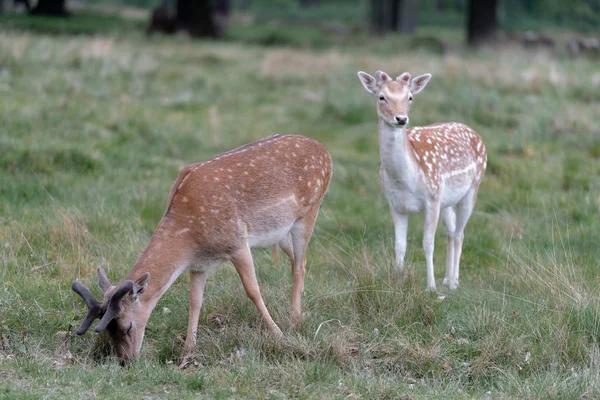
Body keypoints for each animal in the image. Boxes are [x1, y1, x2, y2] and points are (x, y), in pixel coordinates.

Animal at [72, 134, 332, 362]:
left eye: (127, 326)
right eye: (108, 330)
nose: (125, 361)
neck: (190, 237)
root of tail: (325, 150)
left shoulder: (237, 242)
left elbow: (253, 291)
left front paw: (278, 334)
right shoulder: (199, 265)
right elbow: (195, 301)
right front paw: (188, 350)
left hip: (309, 212)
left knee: (300, 264)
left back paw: (295, 320)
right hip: (280, 235)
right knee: (297, 260)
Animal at [358, 69, 486, 290]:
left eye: (410, 97)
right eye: (381, 97)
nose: (401, 118)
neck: (404, 179)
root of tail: (475, 133)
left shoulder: (432, 199)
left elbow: (428, 244)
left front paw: (430, 287)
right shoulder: (395, 204)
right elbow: (400, 245)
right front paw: (398, 281)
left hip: (473, 187)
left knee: (459, 233)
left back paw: (454, 282)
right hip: (446, 200)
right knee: (451, 231)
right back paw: (448, 278)